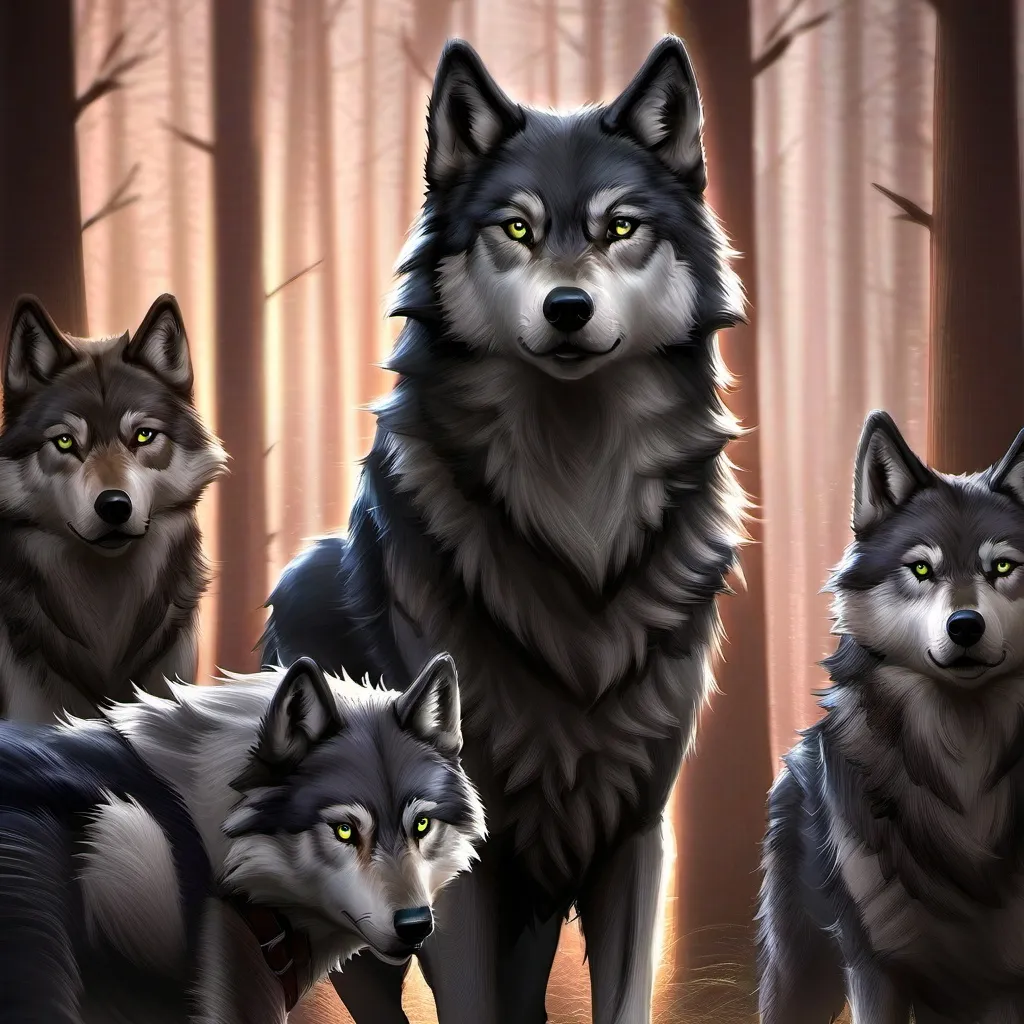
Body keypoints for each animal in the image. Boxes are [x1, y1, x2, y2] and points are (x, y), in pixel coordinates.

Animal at [261, 33, 746, 1024]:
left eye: (620, 227)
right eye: (516, 229)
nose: (567, 308)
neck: (574, 501)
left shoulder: (637, 831)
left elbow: (625, 993)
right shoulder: (456, 863)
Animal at [756, 410, 1024, 1024]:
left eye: (1002, 565)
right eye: (921, 568)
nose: (965, 626)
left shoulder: (1007, 980)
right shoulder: (875, 966)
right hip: (801, 973)